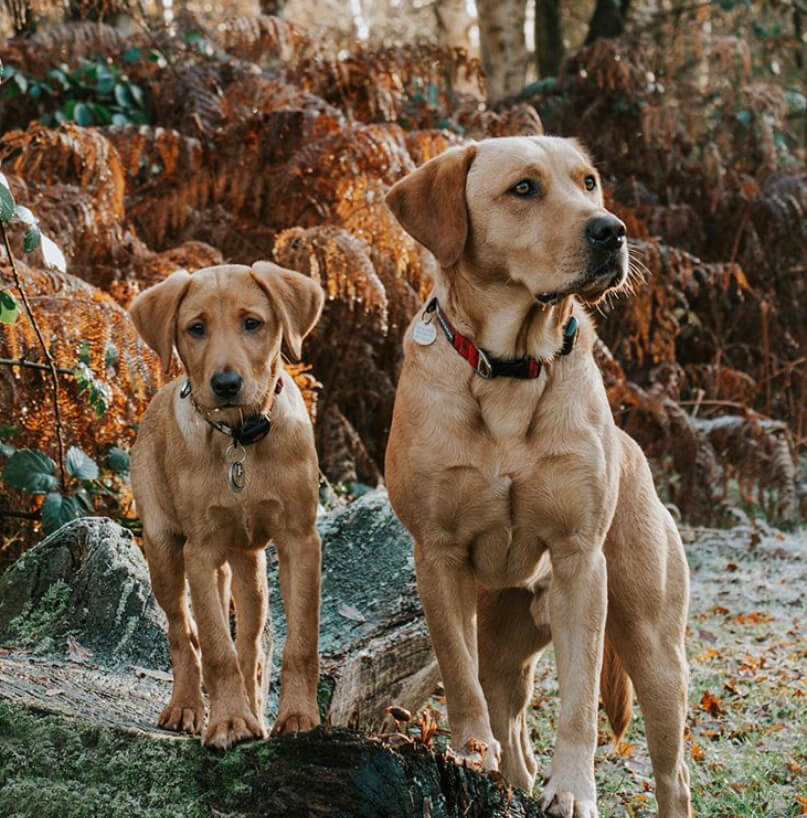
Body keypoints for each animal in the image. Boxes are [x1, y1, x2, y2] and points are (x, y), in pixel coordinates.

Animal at [131, 260, 324, 744]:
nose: (226, 384)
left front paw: (297, 715)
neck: (240, 438)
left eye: (252, 323)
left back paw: (256, 713)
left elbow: (301, 641)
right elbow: (216, 646)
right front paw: (229, 721)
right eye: (196, 329)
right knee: (183, 633)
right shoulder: (200, 553)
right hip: (164, 548)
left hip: (249, 569)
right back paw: (186, 707)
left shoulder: (299, 541)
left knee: (251, 645)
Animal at [386, 137, 696, 812]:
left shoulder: (581, 561)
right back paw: (509, 775)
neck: (509, 365)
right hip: (503, 642)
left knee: (674, 777)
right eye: (523, 189)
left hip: (654, 647)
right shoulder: (437, 556)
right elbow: (459, 676)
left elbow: (578, 702)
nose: (611, 230)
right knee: (507, 718)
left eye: (589, 182)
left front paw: (574, 789)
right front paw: (469, 754)